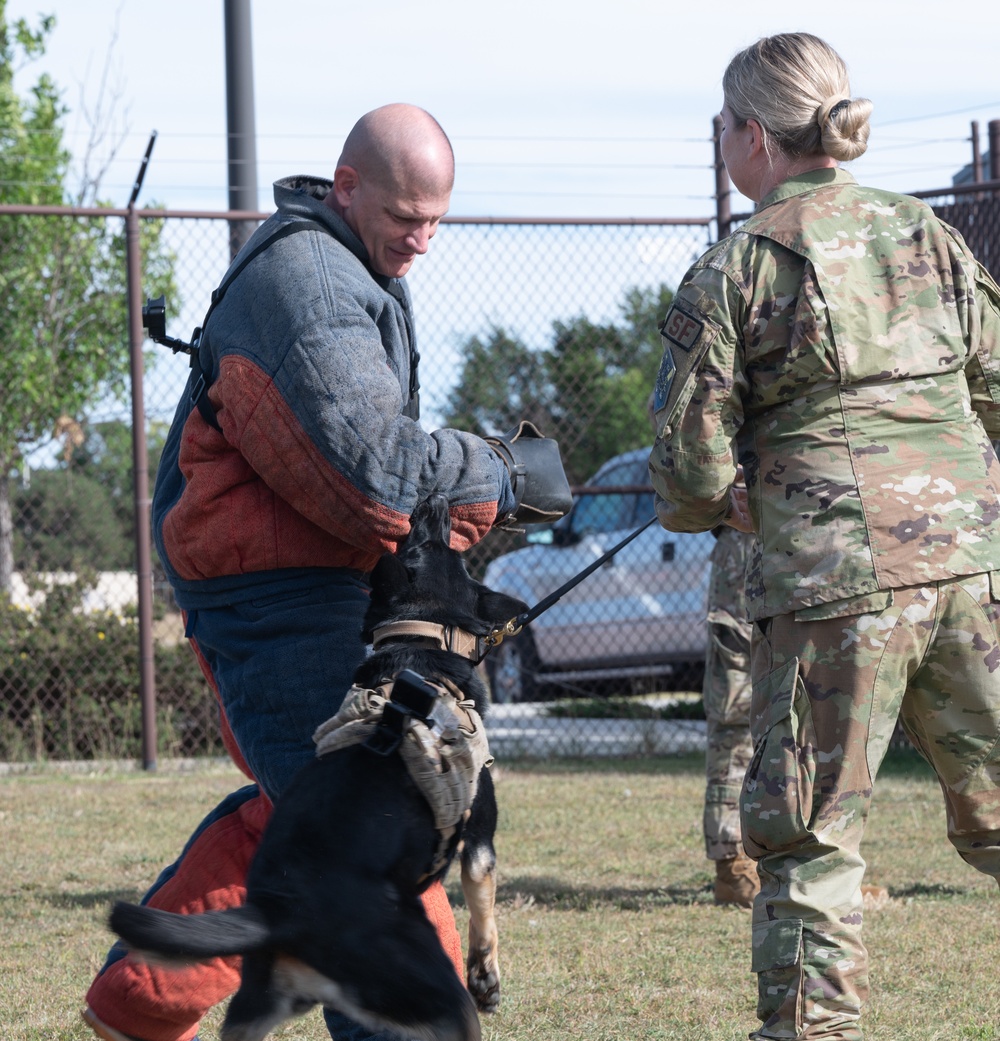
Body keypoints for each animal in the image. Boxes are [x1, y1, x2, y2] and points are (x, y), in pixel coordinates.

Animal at [108, 495, 526, 1041]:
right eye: (428, 544)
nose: (431, 502)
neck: (417, 646)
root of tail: (280, 912)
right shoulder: (479, 839)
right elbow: (483, 905)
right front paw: (487, 975)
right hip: (440, 998)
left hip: (259, 1006)